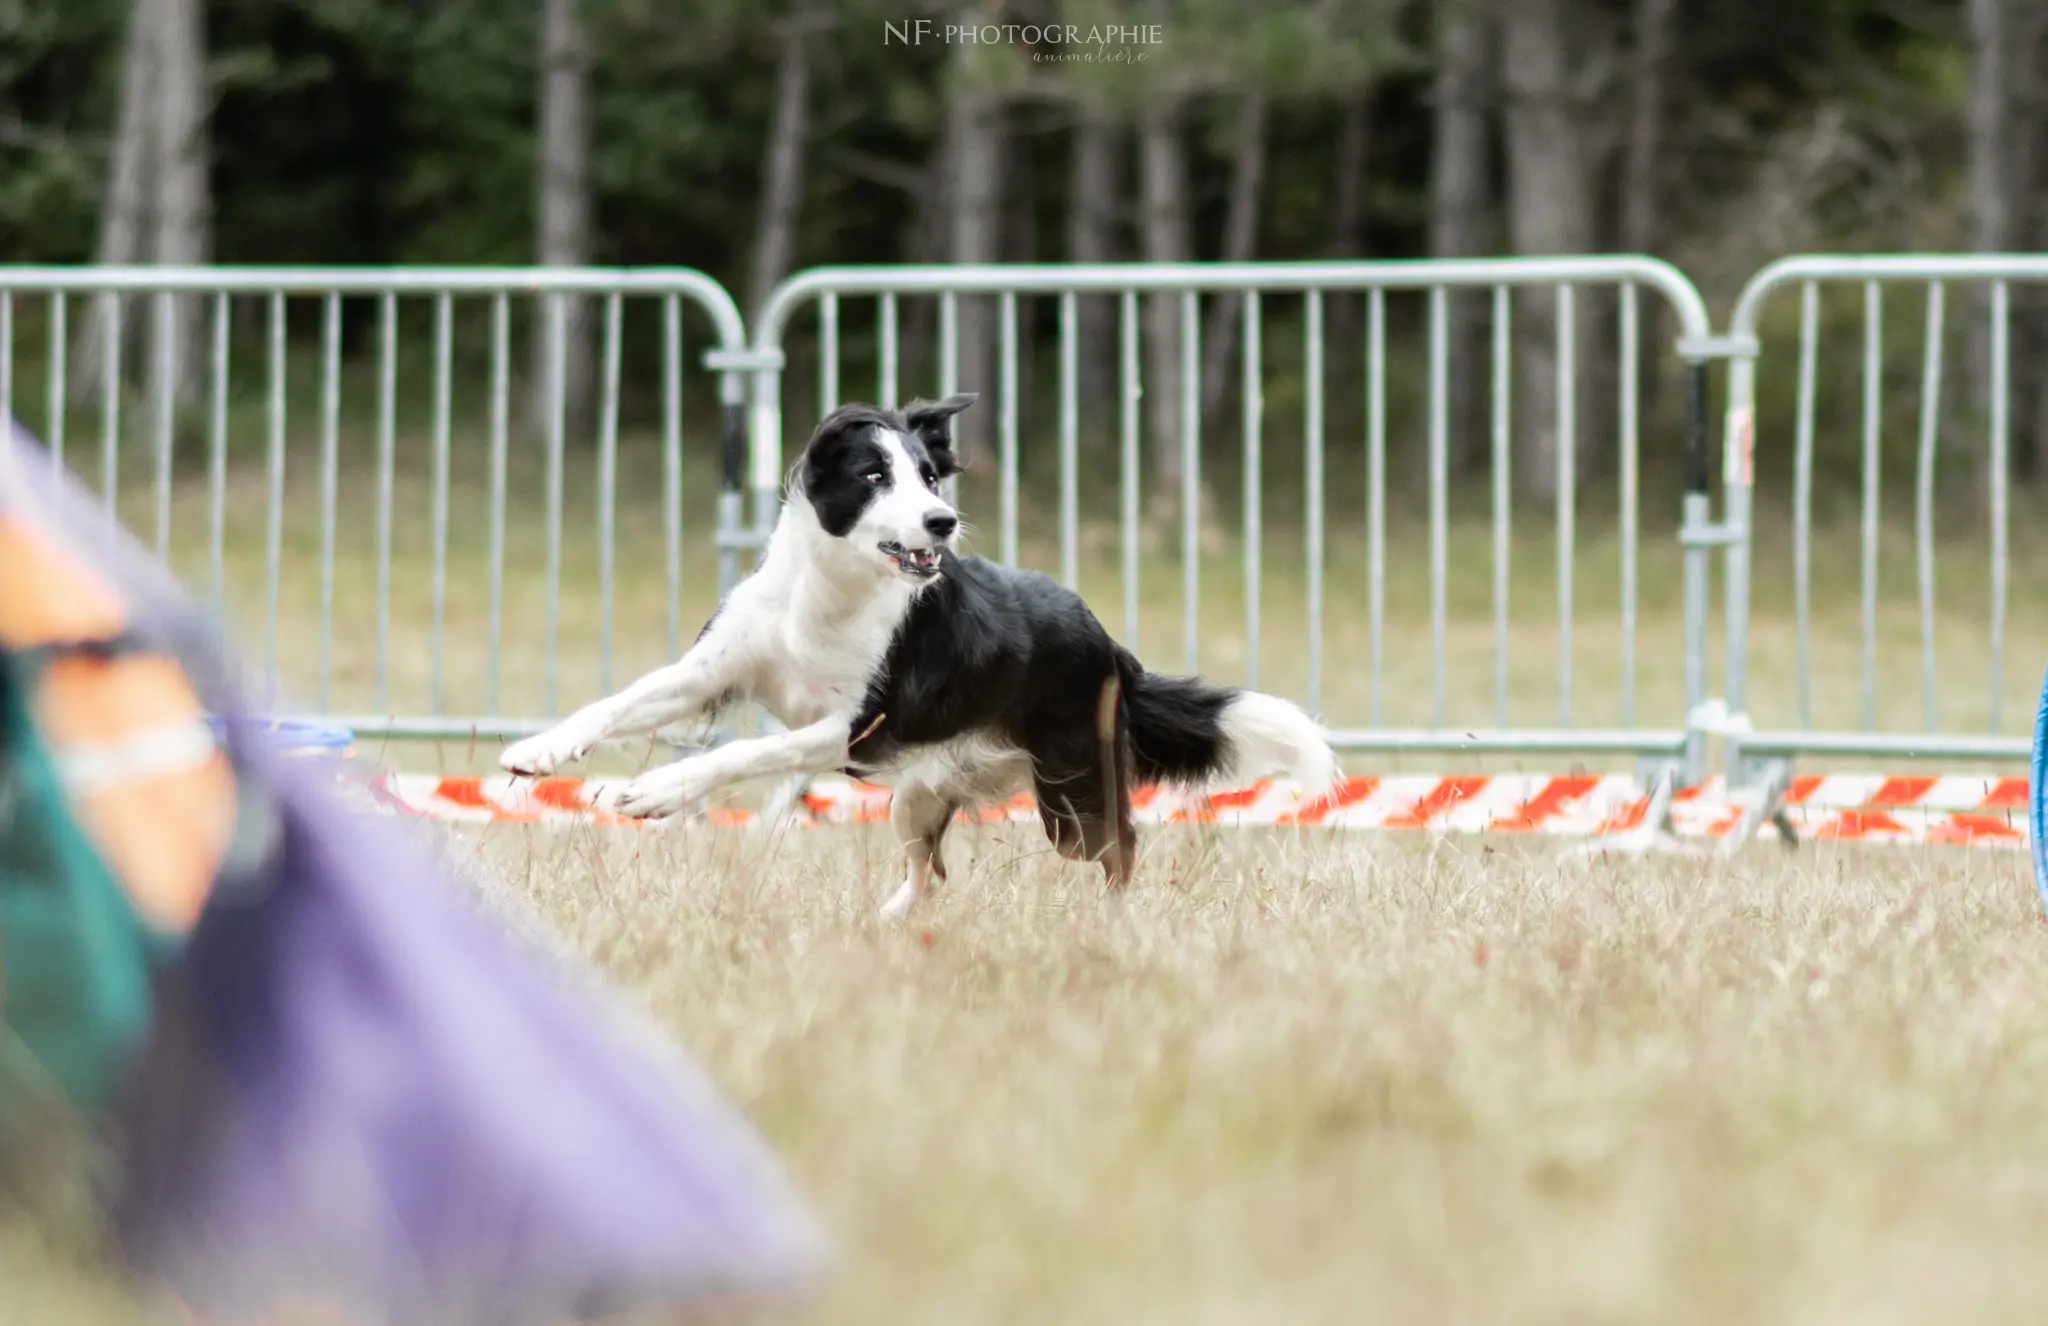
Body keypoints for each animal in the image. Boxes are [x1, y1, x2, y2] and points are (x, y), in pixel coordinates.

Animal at [499, 389, 1343, 918]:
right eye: (875, 476)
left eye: (931, 476)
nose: (942, 521)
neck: (832, 589)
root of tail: (1113, 649)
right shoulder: (711, 672)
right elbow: (619, 702)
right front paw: (540, 752)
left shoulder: (858, 728)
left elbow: (739, 755)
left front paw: (652, 792)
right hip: (921, 791)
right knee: (932, 874)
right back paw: (885, 925)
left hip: (1068, 795)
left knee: (1117, 853)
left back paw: (1108, 925)